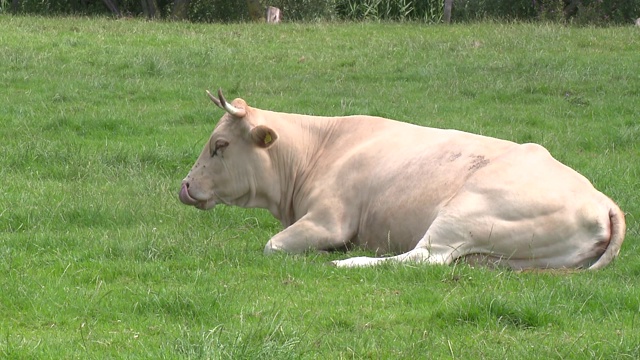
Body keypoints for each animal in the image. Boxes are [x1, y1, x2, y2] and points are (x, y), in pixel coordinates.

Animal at [179, 89, 624, 270]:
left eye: (219, 145)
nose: (184, 186)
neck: (320, 148)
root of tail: (601, 200)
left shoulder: (328, 219)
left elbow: (272, 246)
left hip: (463, 213)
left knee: (423, 257)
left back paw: (348, 261)